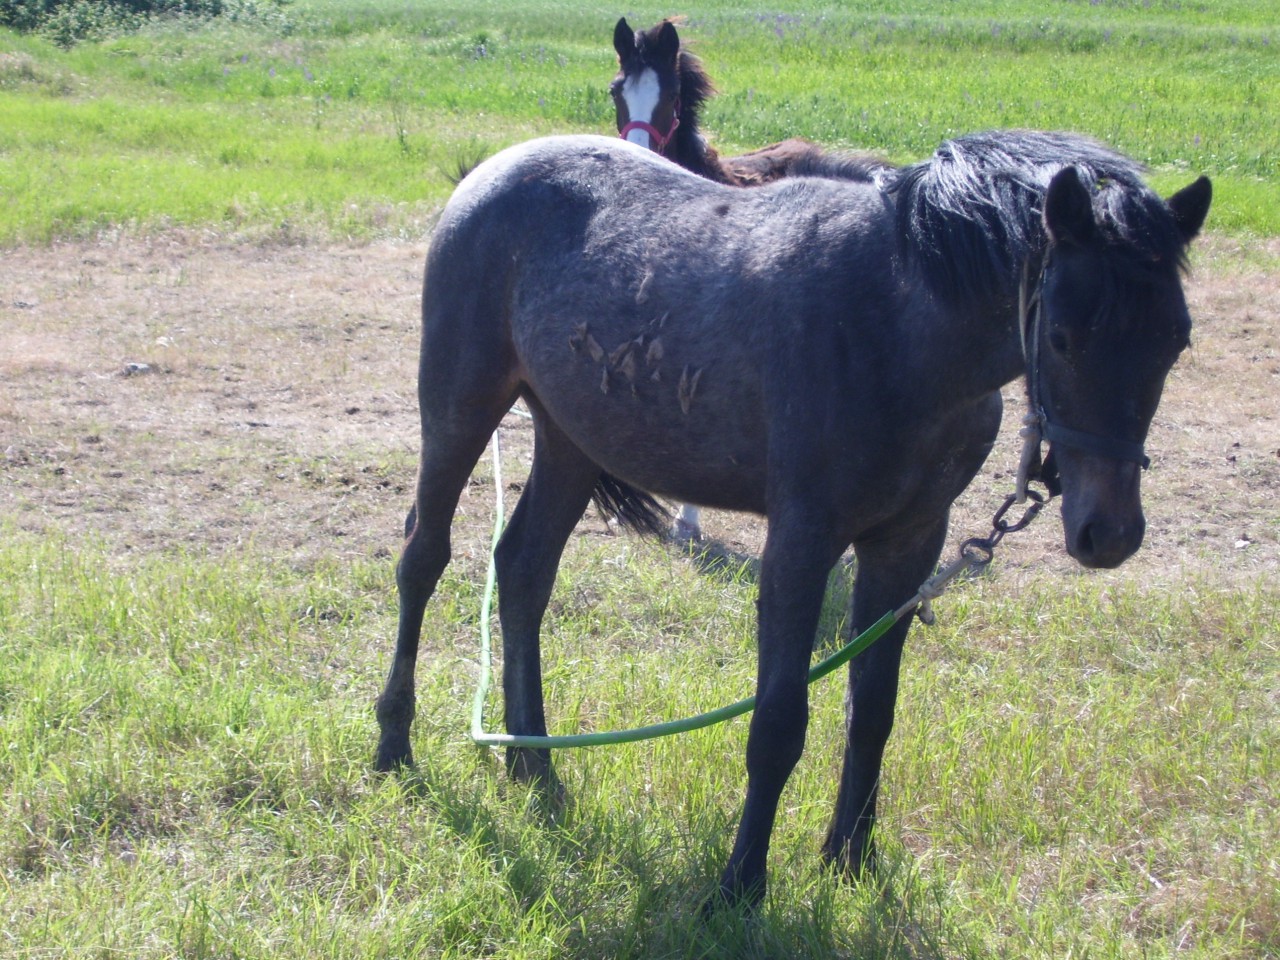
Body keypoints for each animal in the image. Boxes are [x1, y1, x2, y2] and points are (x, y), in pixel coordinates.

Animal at [374, 128, 1210, 909]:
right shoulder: (802, 543)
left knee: (522, 572)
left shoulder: (908, 544)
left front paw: (850, 860)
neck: (895, 327)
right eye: (1063, 337)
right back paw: (394, 744)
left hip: (570, 440)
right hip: (460, 406)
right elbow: (778, 724)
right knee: (423, 558)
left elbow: (873, 712)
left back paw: (533, 765)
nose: (1109, 534)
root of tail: (489, 171)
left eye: (1177, 340)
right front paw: (740, 886)